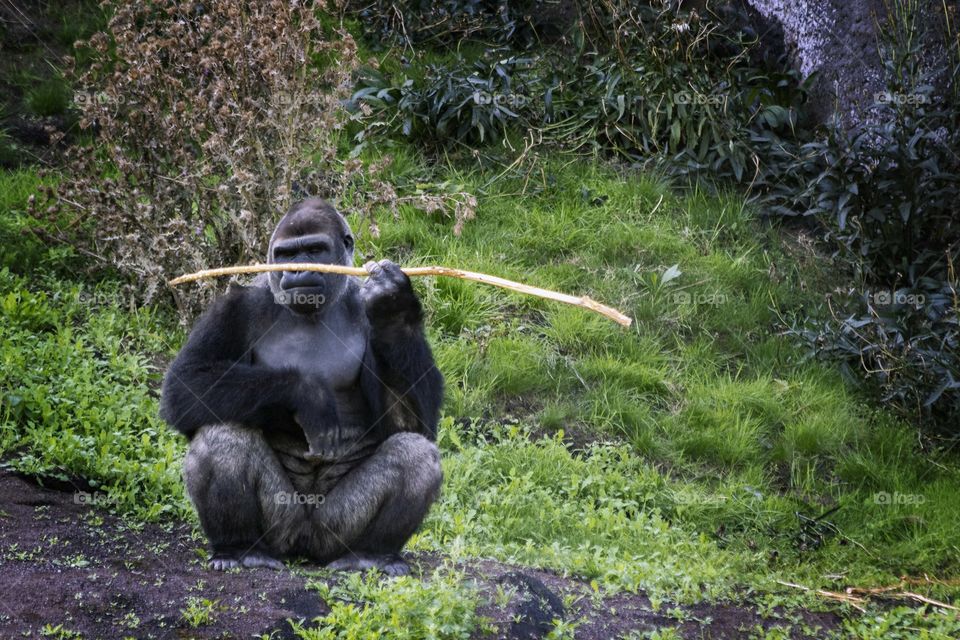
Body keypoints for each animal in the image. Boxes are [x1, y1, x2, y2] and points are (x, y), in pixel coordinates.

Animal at [159, 196, 444, 576]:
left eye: (314, 249)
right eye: (286, 254)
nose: (297, 271)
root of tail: (304, 548)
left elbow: (413, 425)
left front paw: (393, 306)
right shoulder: (235, 305)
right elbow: (186, 383)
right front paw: (308, 393)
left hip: (333, 532)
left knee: (414, 452)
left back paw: (372, 554)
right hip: (281, 530)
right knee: (221, 435)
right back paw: (239, 548)